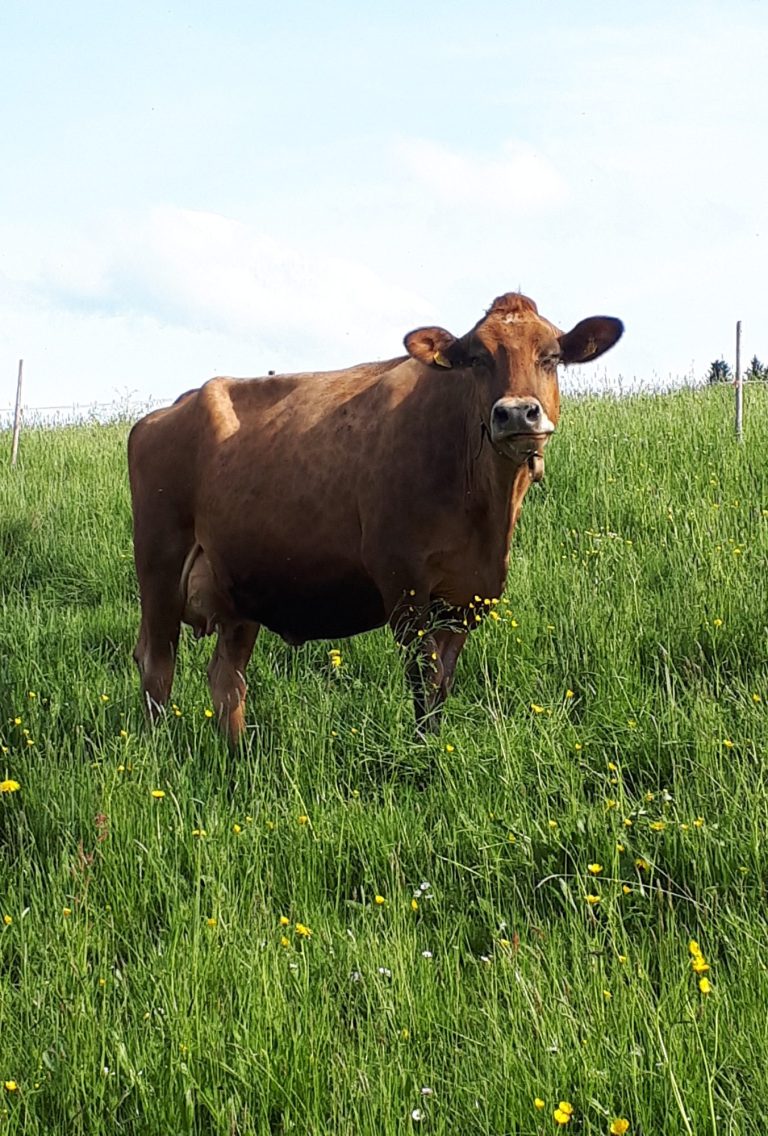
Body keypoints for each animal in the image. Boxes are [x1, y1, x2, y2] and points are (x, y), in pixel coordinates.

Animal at [128, 292, 623, 742]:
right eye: (477, 358)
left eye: (551, 357)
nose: (517, 412)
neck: (486, 509)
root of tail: (168, 409)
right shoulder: (403, 583)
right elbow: (423, 680)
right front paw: (423, 757)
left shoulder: (465, 597)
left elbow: (443, 682)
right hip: (159, 568)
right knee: (158, 664)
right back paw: (159, 749)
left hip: (240, 583)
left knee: (226, 678)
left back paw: (238, 755)